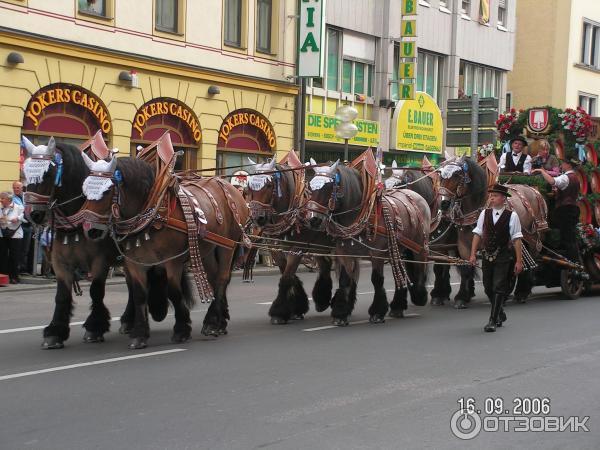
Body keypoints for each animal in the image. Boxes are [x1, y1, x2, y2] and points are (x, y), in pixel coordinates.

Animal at [82, 133, 248, 348]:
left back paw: (212, 323)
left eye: (107, 191)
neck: (152, 208)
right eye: (85, 189)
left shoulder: (172, 260)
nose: (91, 230)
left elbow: (174, 292)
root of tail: (231, 188)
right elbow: (139, 294)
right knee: (213, 278)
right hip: (209, 249)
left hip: (228, 246)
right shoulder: (135, 262)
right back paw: (218, 322)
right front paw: (139, 334)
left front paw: (181, 330)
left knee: (221, 279)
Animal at [246, 151, 336, 324]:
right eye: (249, 187)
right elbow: (288, 274)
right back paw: (322, 300)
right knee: (325, 266)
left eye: (269, 185)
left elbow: (287, 276)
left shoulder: (297, 248)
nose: (258, 219)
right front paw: (297, 308)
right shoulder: (276, 248)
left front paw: (279, 312)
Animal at [304, 152, 432, 326]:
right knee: (399, 271)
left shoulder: (377, 254)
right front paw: (341, 313)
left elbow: (377, 280)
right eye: (310, 187)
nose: (313, 220)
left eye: (329, 188)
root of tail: (414, 195)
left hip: (419, 245)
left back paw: (419, 296)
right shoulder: (345, 254)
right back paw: (398, 306)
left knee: (420, 267)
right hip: (398, 248)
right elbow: (345, 280)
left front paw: (377, 312)